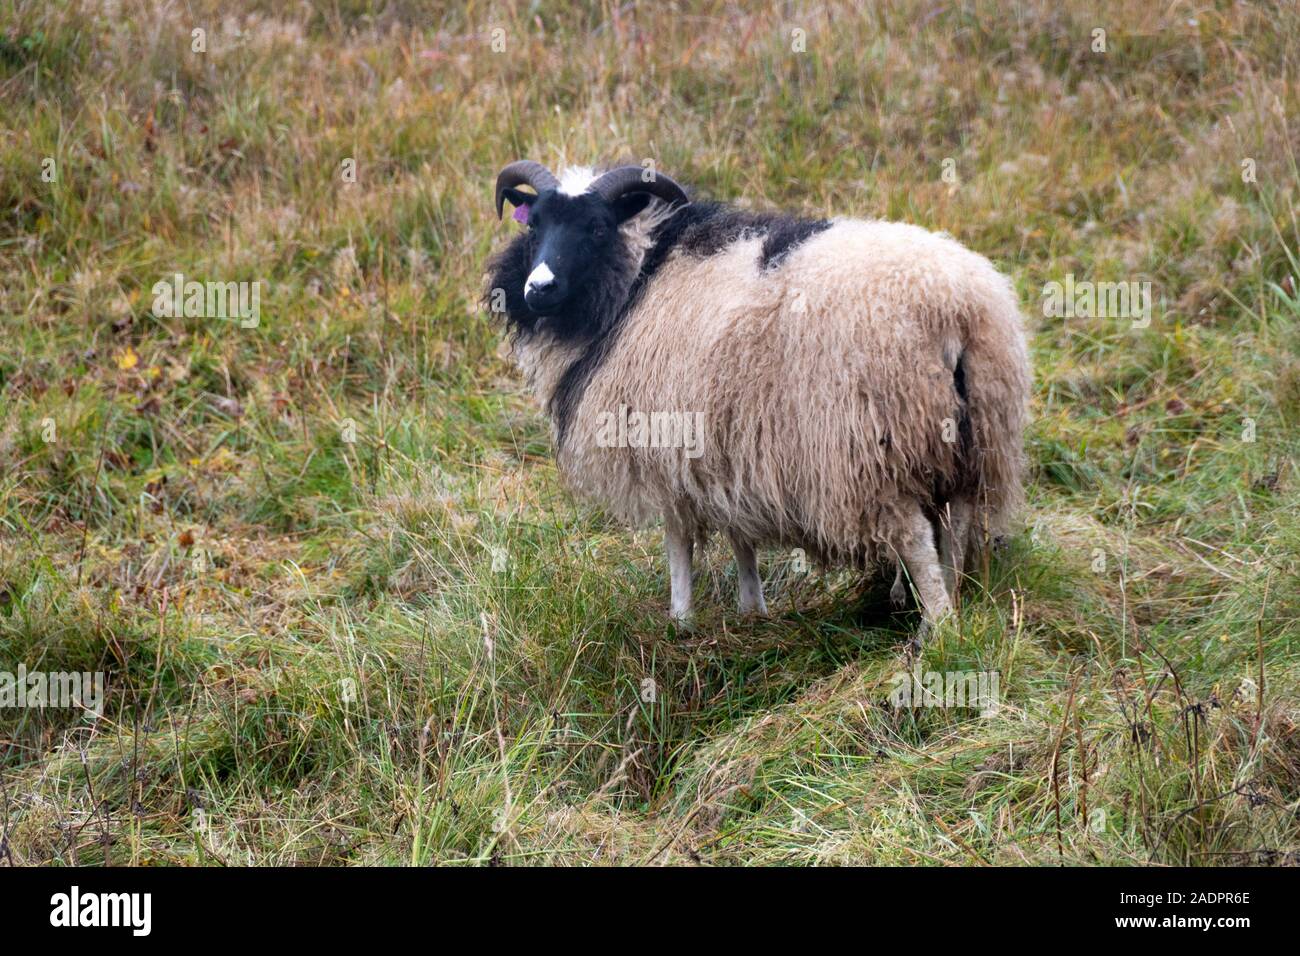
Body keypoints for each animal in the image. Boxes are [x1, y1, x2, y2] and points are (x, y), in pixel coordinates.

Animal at [483, 159, 1029, 632]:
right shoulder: (727, 445)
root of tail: (953, 309)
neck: (639, 278)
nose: (538, 289)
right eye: (535, 227)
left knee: (914, 536)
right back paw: (951, 599)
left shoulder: (667, 443)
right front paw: (752, 610)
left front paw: (681, 620)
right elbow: (738, 532)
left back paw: (937, 625)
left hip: (867, 450)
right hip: (977, 437)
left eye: (597, 228)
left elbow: (678, 539)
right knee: (958, 523)